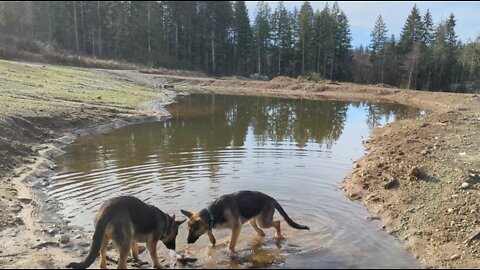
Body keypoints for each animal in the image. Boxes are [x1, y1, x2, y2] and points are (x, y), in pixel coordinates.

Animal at [181, 190, 312, 253]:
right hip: (253, 222)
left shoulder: (237, 227)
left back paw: (278, 235)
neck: (213, 213)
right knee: (262, 232)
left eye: (193, 230)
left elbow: (232, 243)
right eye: (188, 230)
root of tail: (271, 198)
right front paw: (212, 240)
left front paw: (230, 252)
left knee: (278, 222)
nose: (187, 242)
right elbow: (209, 230)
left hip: (263, 222)